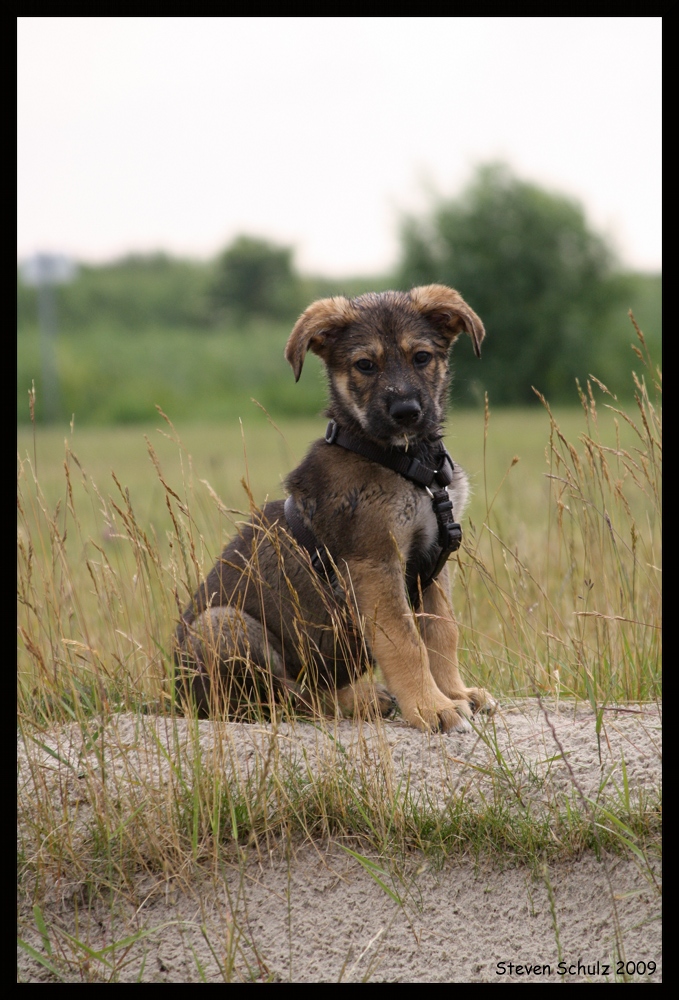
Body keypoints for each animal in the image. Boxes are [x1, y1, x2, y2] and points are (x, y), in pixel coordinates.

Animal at [174, 286, 494, 732]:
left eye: (421, 357)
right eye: (365, 365)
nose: (406, 413)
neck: (411, 464)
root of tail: (174, 694)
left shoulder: (433, 562)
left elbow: (442, 634)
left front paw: (455, 693)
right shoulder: (374, 562)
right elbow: (406, 642)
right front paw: (432, 708)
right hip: (223, 625)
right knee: (285, 700)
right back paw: (357, 701)